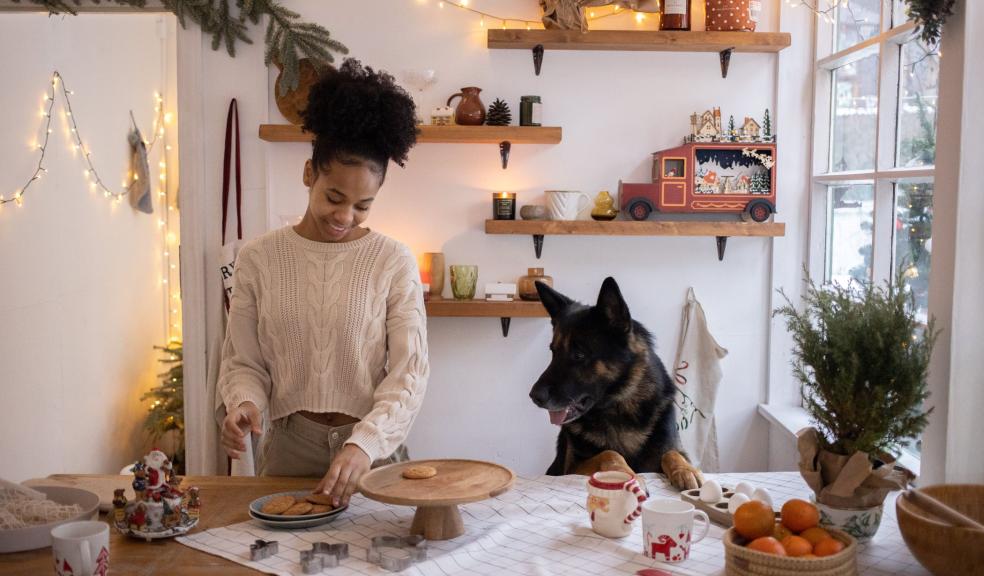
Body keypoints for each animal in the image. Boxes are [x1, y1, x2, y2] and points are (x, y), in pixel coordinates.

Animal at [536, 276, 704, 488]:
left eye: (579, 355)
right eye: (553, 352)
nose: (534, 396)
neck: (620, 405)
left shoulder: (670, 449)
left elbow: (672, 453)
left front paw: (686, 470)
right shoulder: (571, 467)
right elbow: (609, 453)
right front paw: (624, 474)